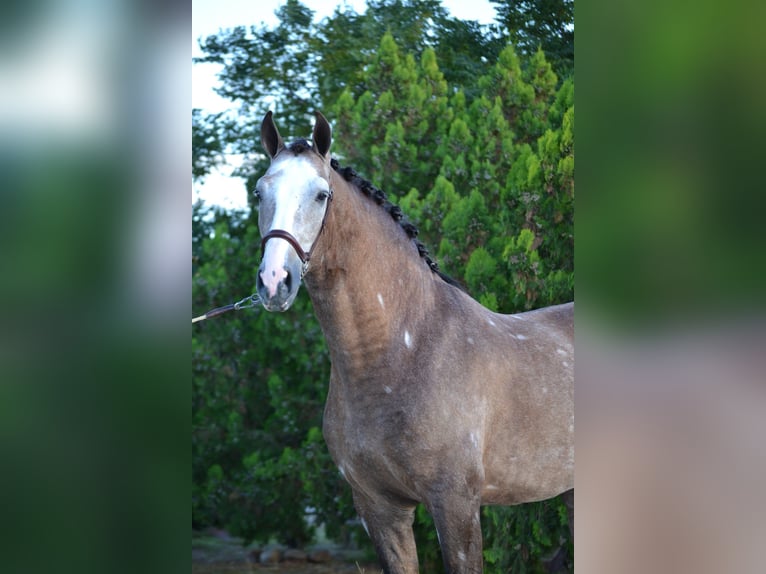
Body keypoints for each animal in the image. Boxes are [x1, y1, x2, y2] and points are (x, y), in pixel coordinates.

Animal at [254, 111, 574, 573]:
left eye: (321, 194)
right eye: (259, 191)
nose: (274, 282)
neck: (403, 352)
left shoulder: (456, 506)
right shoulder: (380, 509)